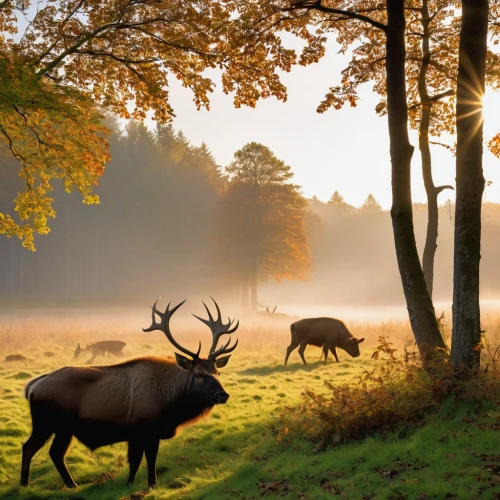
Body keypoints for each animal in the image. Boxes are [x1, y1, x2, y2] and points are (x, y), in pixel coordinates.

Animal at [23, 296, 240, 488]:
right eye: (198, 373)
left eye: (218, 372)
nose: (222, 395)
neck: (171, 408)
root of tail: (33, 386)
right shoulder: (139, 428)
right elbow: (136, 460)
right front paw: (131, 484)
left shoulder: (152, 432)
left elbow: (150, 459)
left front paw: (152, 484)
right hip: (45, 422)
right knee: (29, 447)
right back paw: (25, 484)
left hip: (64, 428)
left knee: (55, 453)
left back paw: (71, 485)